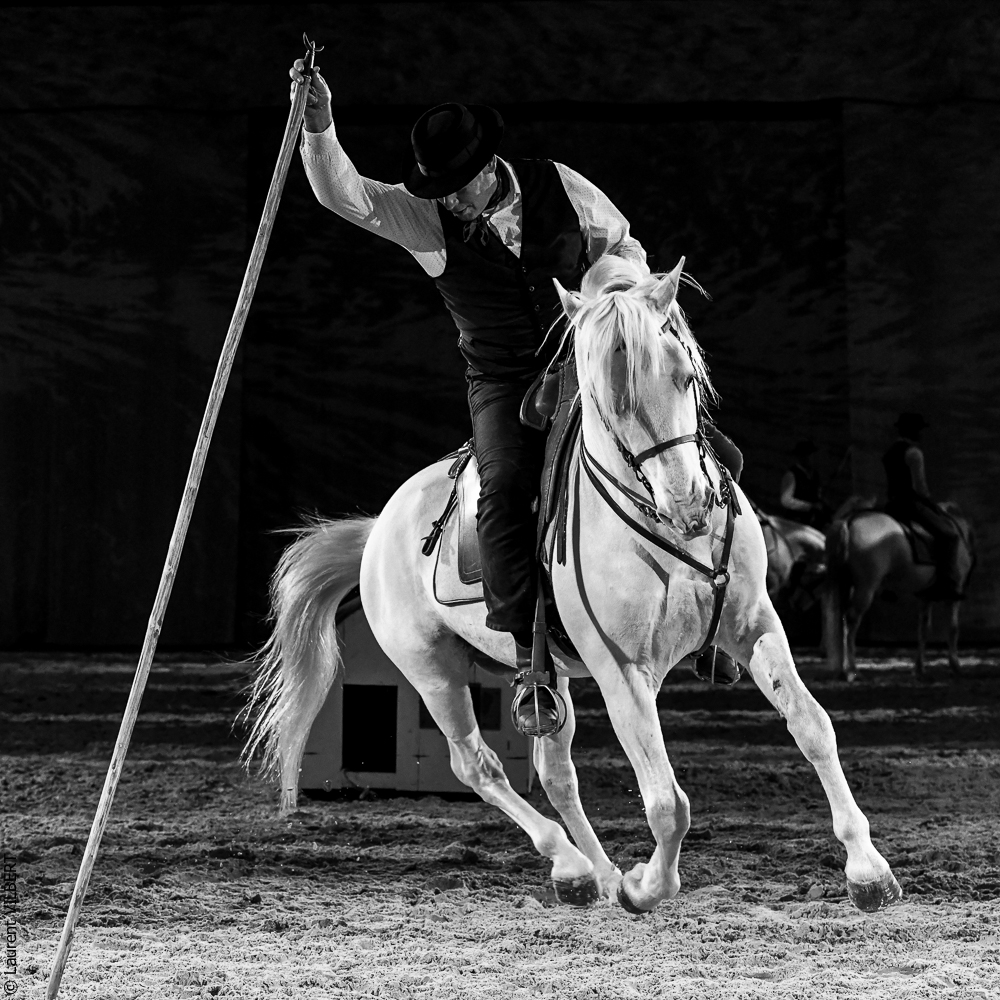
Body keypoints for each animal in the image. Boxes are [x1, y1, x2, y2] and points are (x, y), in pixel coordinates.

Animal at [243, 255, 901, 915]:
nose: (690, 507)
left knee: (554, 772)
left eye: (685, 377)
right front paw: (646, 887)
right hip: (433, 670)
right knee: (477, 765)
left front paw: (868, 871)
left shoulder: (755, 625)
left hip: (546, 675)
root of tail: (380, 526)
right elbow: (668, 801)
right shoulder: (622, 670)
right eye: (608, 403)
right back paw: (577, 865)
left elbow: (813, 728)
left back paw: (594, 874)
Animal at [822, 503, 975, 681]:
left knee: (841, 620)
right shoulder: (953, 596)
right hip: (865, 588)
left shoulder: (925, 597)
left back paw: (842, 670)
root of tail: (850, 520)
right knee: (851, 620)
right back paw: (851, 670)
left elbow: (923, 629)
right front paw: (955, 666)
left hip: (846, 585)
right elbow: (952, 629)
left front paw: (919, 669)